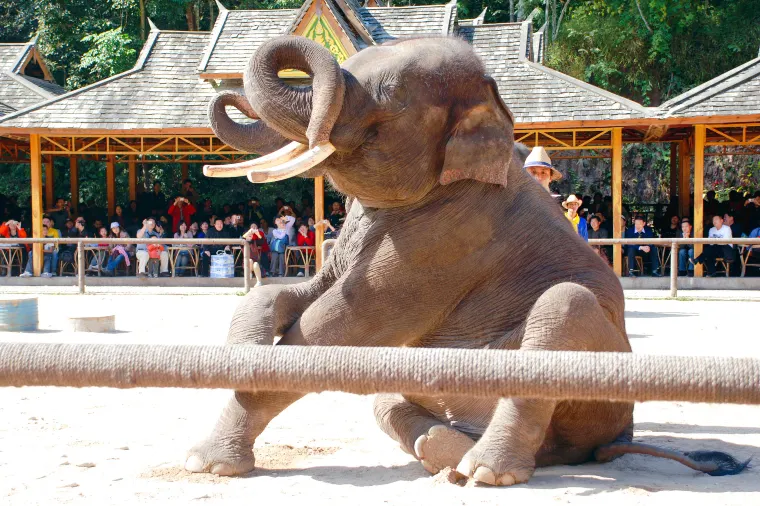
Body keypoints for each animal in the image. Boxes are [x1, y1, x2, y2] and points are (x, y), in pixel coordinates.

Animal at [185, 35, 748, 485]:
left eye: (390, 98)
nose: (225, 90)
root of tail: (616, 439)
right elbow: (290, 293)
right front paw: (242, 353)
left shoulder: (449, 239)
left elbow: (337, 326)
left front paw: (206, 463)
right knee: (387, 399)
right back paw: (448, 456)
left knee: (562, 306)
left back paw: (483, 471)